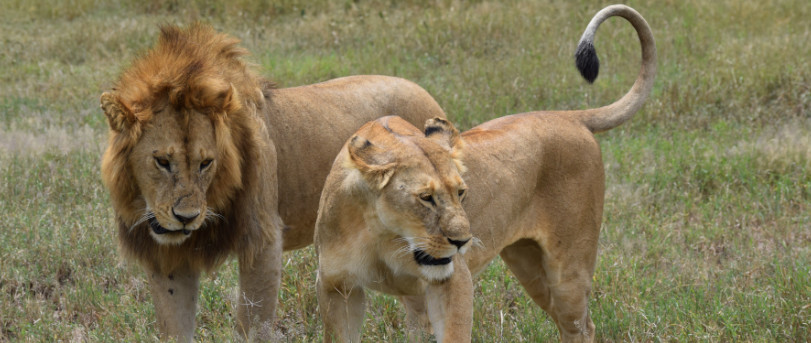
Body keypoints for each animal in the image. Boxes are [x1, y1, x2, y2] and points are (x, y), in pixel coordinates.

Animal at [100, 23, 450, 342]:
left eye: (205, 163)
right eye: (162, 161)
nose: (186, 218)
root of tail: (428, 95)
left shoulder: (263, 239)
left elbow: (252, 325)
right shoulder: (167, 258)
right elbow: (174, 328)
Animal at [314, 5, 656, 343]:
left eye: (461, 192)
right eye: (425, 198)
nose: (462, 242)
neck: (379, 232)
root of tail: (569, 116)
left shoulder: (452, 281)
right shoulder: (338, 289)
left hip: (569, 269)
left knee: (581, 326)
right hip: (527, 263)